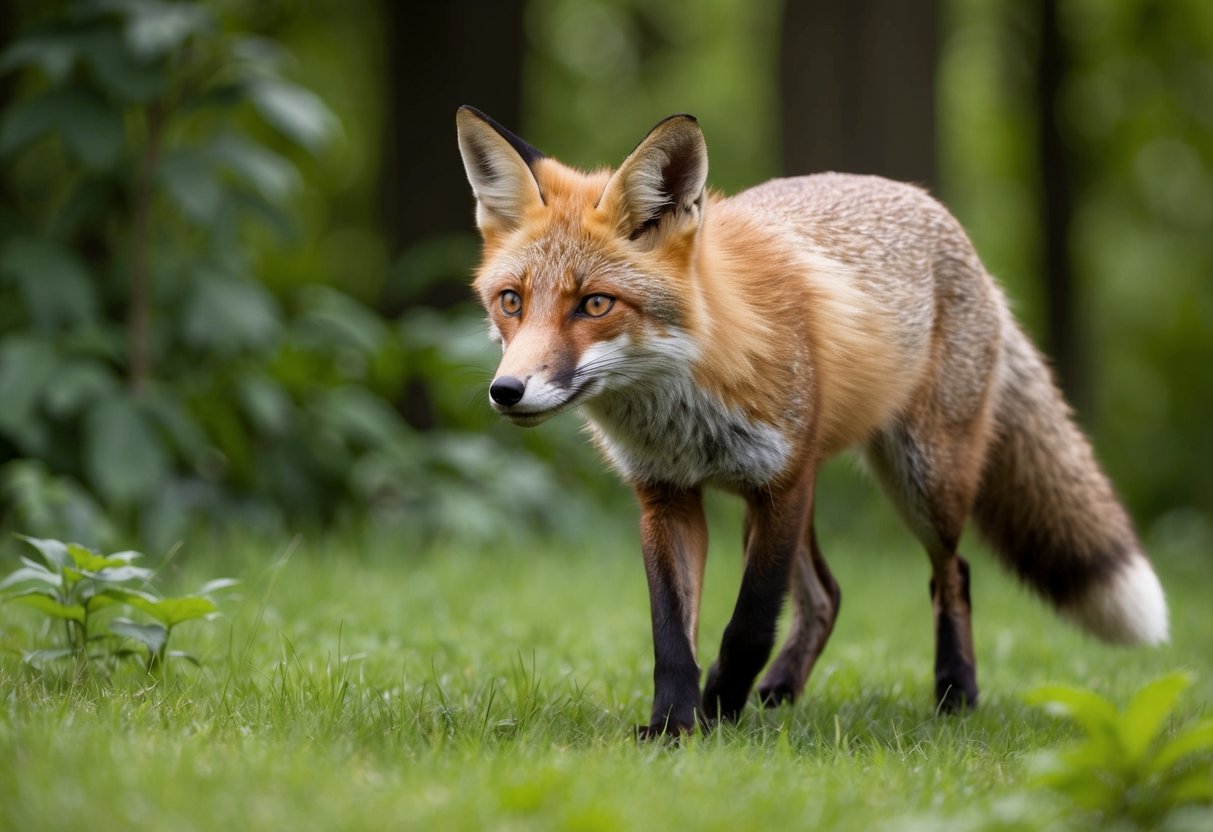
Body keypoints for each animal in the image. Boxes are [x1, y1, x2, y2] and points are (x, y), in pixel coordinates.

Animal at [454, 105, 1169, 737]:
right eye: (511, 301)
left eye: (595, 304)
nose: (507, 391)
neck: (687, 399)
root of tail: (944, 221)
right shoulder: (667, 496)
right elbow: (672, 637)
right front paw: (674, 728)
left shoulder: (782, 483)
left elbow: (748, 625)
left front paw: (718, 714)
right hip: (775, 500)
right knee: (829, 595)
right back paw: (783, 689)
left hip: (922, 481)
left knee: (953, 574)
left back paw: (954, 692)